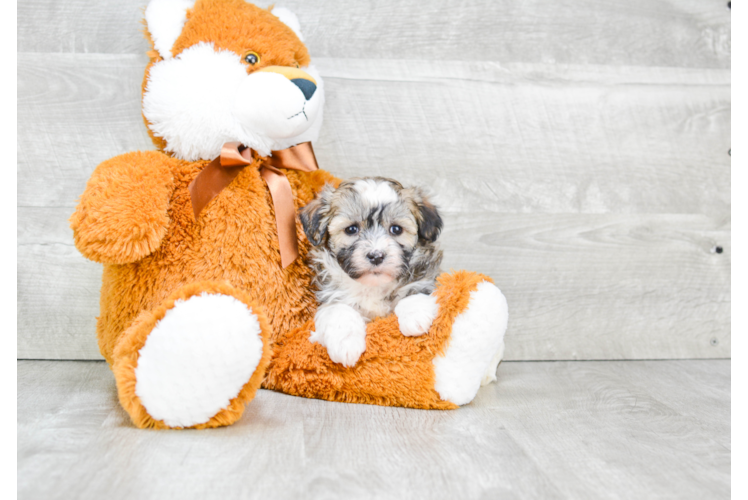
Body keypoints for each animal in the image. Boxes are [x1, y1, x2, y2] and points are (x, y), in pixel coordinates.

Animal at [300, 178, 444, 366]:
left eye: (396, 229)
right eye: (351, 229)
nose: (376, 256)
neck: (372, 286)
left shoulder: (426, 277)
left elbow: (414, 290)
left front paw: (415, 316)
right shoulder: (331, 296)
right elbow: (339, 311)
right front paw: (346, 344)